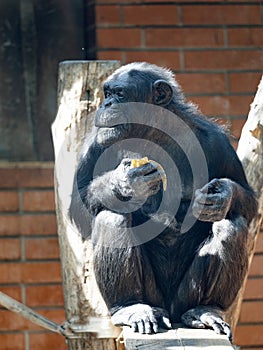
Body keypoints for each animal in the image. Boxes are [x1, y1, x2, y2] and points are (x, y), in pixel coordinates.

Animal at [70, 61, 258, 340]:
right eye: (107, 93)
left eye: (120, 94)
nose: (106, 105)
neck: (153, 130)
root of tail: (170, 311)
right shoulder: (97, 141)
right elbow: (79, 203)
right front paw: (127, 183)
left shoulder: (217, 142)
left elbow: (248, 198)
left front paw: (223, 195)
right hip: (154, 296)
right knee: (112, 216)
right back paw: (131, 307)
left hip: (184, 297)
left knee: (231, 224)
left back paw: (206, 309)